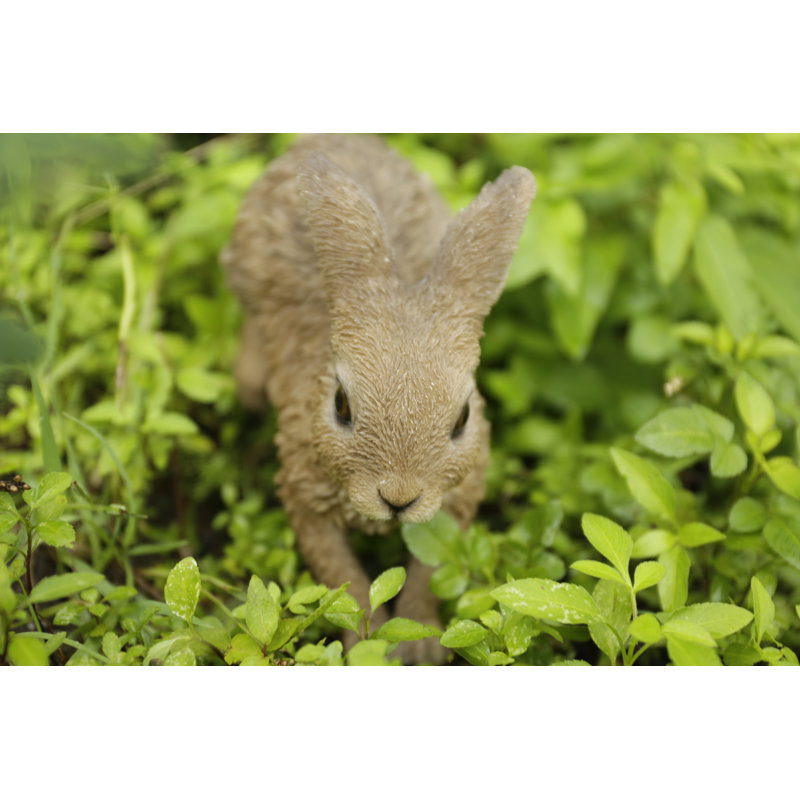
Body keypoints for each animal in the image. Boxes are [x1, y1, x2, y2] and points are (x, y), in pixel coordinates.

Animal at [222, 134, 536, 663]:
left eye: (463, 417)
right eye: (341, 405)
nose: (398, 498)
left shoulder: (457, 501)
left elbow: (429, 575)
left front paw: (423, 646)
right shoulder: (305, 501)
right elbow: (341, 578)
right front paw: (366, 646)